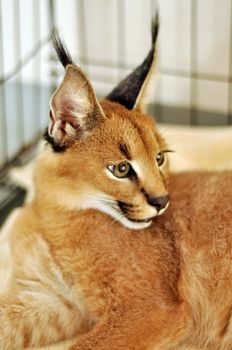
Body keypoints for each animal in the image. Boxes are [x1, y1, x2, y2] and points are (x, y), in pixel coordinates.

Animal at [1, 18, 232, 350]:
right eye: (121, 169)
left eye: (159, 158)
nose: (162, 201)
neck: (55, 213)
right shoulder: (54, 301)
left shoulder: (149, 306)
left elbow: (82, 346)